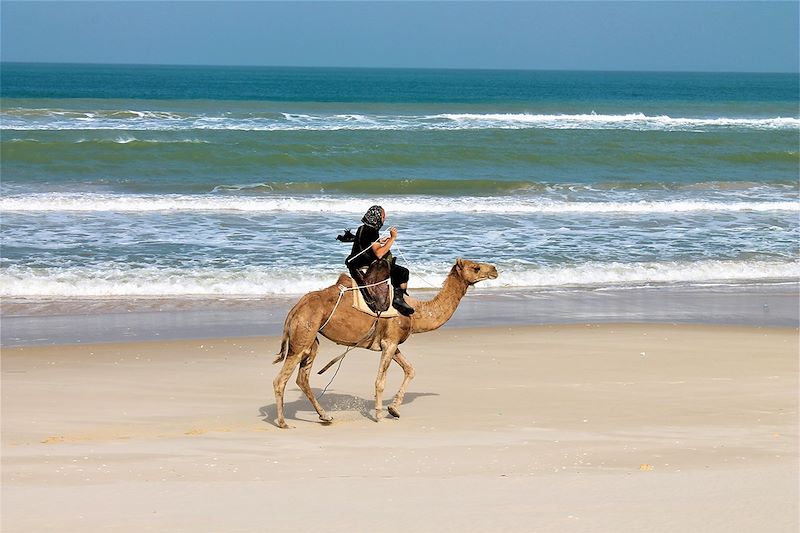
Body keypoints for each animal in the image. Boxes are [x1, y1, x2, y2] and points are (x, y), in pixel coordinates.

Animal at [272, 258, 496, 428]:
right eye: (476, 267)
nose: (494, 269)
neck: (416, 313)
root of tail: (295, 309)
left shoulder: (392, 343)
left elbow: (410, 370)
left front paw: (394, 409)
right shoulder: (389, 342)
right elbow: (380, 381)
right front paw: (380, 415)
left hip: (311, 340)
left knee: (302, 378)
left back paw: (325, 416)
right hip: (303, 335)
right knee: (280, 379)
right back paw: (283, 423)